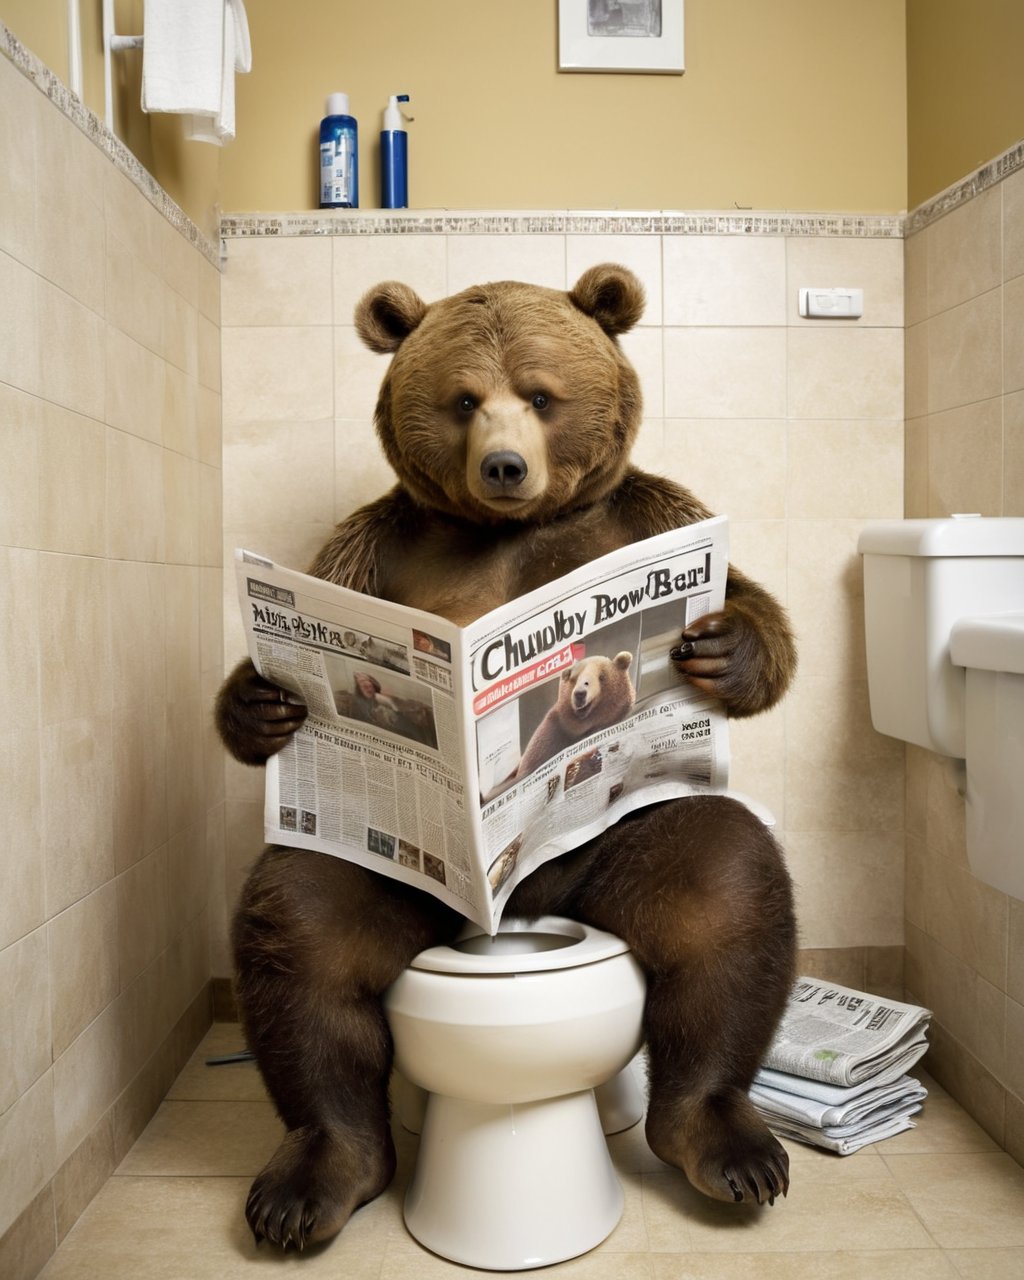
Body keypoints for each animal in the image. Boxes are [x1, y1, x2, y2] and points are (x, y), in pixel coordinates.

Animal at [217, 262, 798, 1249]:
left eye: (539, 394)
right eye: (463, 399)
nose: (504, 465)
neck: (508, 527)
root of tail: (512, 908)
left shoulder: (644, 521)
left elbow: (749, 603)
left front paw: (722, 647)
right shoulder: (375, 552)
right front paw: (263, 702)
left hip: (615, 848)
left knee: (720, 890)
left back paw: (725, 1143)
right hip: (406, 874)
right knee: (305, 929)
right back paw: (314, 1176)